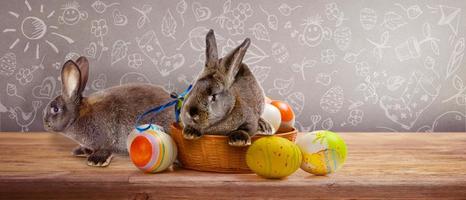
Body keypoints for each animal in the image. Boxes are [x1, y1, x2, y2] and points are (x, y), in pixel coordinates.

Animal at [41, 56, 173, 167]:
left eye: (55, 109)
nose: (45, 123)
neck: (78, 115)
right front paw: (81, 151)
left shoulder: (105, 138)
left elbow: (104, 149)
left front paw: (96, 161)